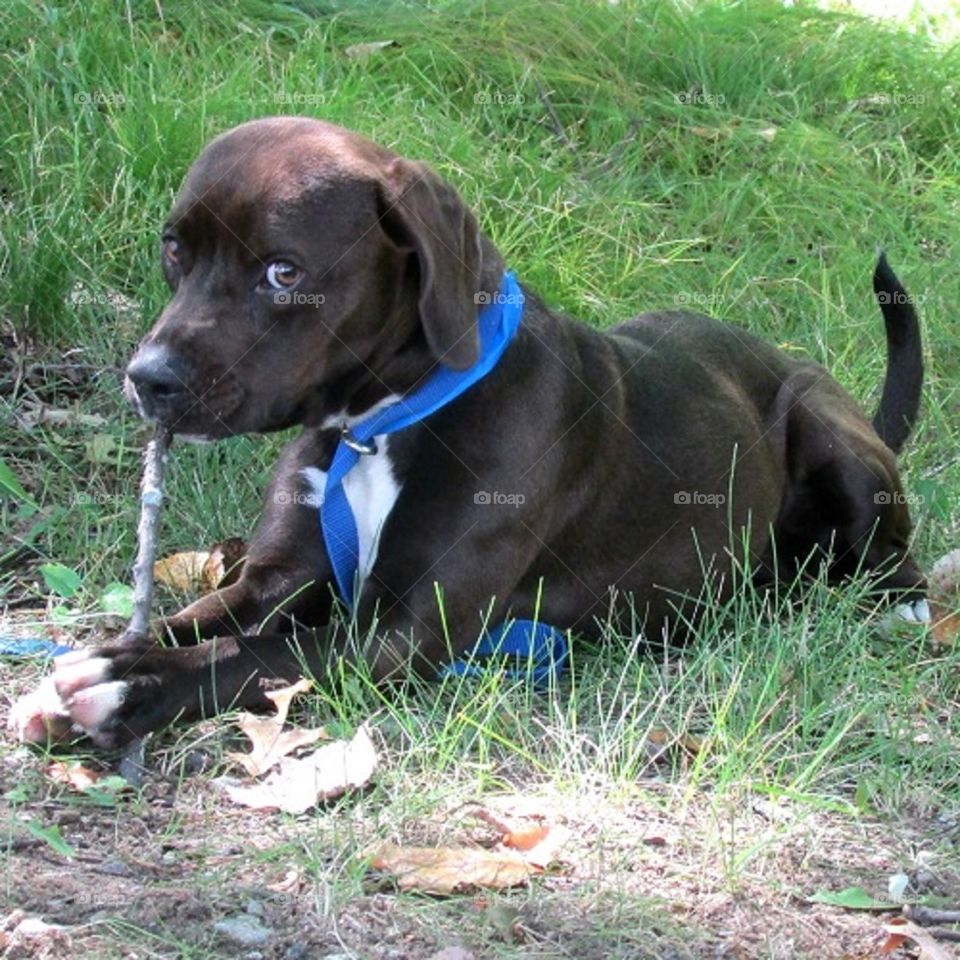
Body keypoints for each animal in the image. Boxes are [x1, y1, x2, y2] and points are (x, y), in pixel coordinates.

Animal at [5, 118, 924, 752]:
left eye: (283, 271)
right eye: (174, 251)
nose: (147, 377)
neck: (379, 425)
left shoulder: (402, 632)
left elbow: (246, 657)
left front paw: (131, 686)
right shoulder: (278, 576)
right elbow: (195, 621)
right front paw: (105, 658)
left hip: (830, 437)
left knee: (889, 559)